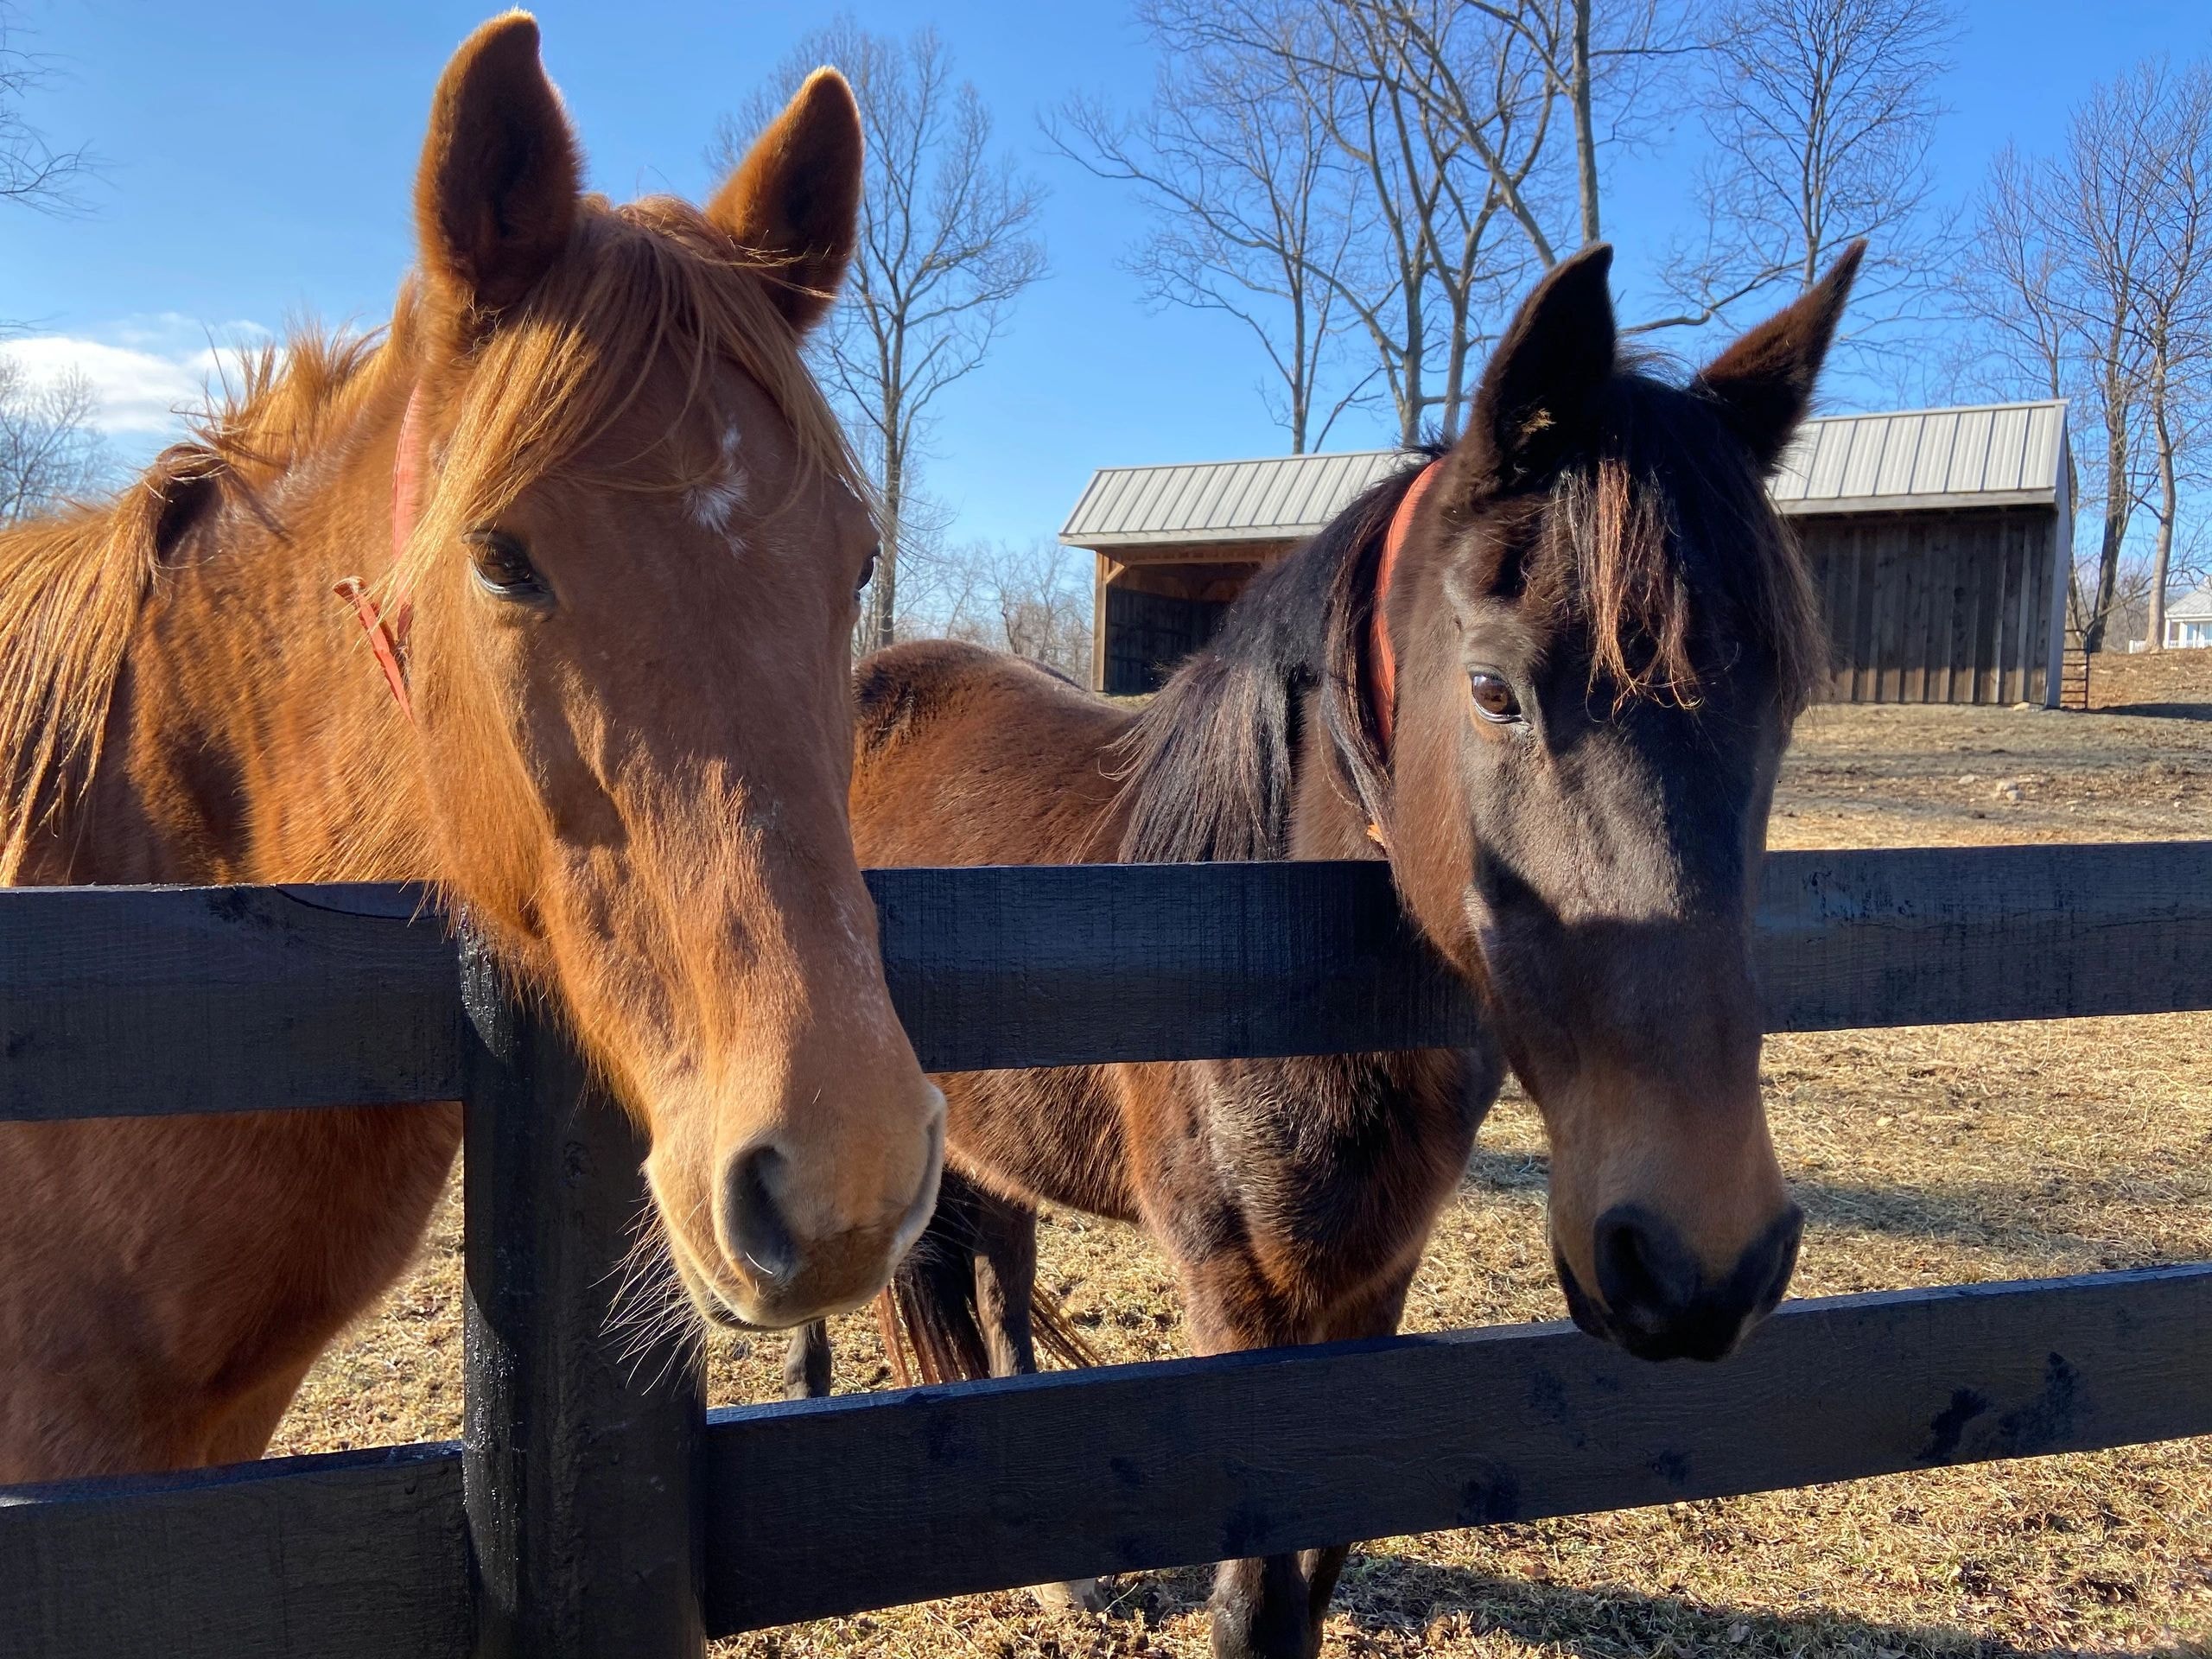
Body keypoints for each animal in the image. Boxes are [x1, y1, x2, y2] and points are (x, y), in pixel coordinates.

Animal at [792, 240, 1864, 1657]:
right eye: (1494, 690)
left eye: (1784, 705)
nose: (1703, 1258)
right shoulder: (1245, 1304)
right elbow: (1255, 1611)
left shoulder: (1369, 1289)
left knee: (1005, 1283)